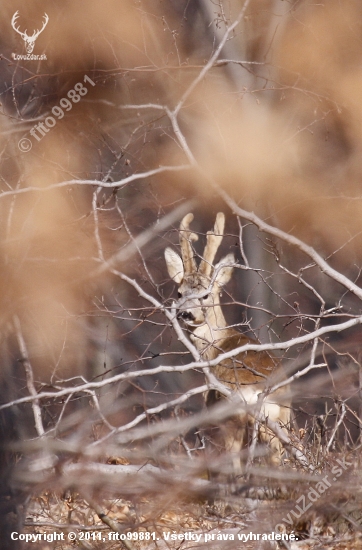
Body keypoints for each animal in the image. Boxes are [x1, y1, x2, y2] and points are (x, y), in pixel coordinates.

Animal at [165, 213, 290, 468]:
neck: (217, 348)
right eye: (179, 293)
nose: (185, 314)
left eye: (205, 295)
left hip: (231, 423)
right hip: (283, 421)